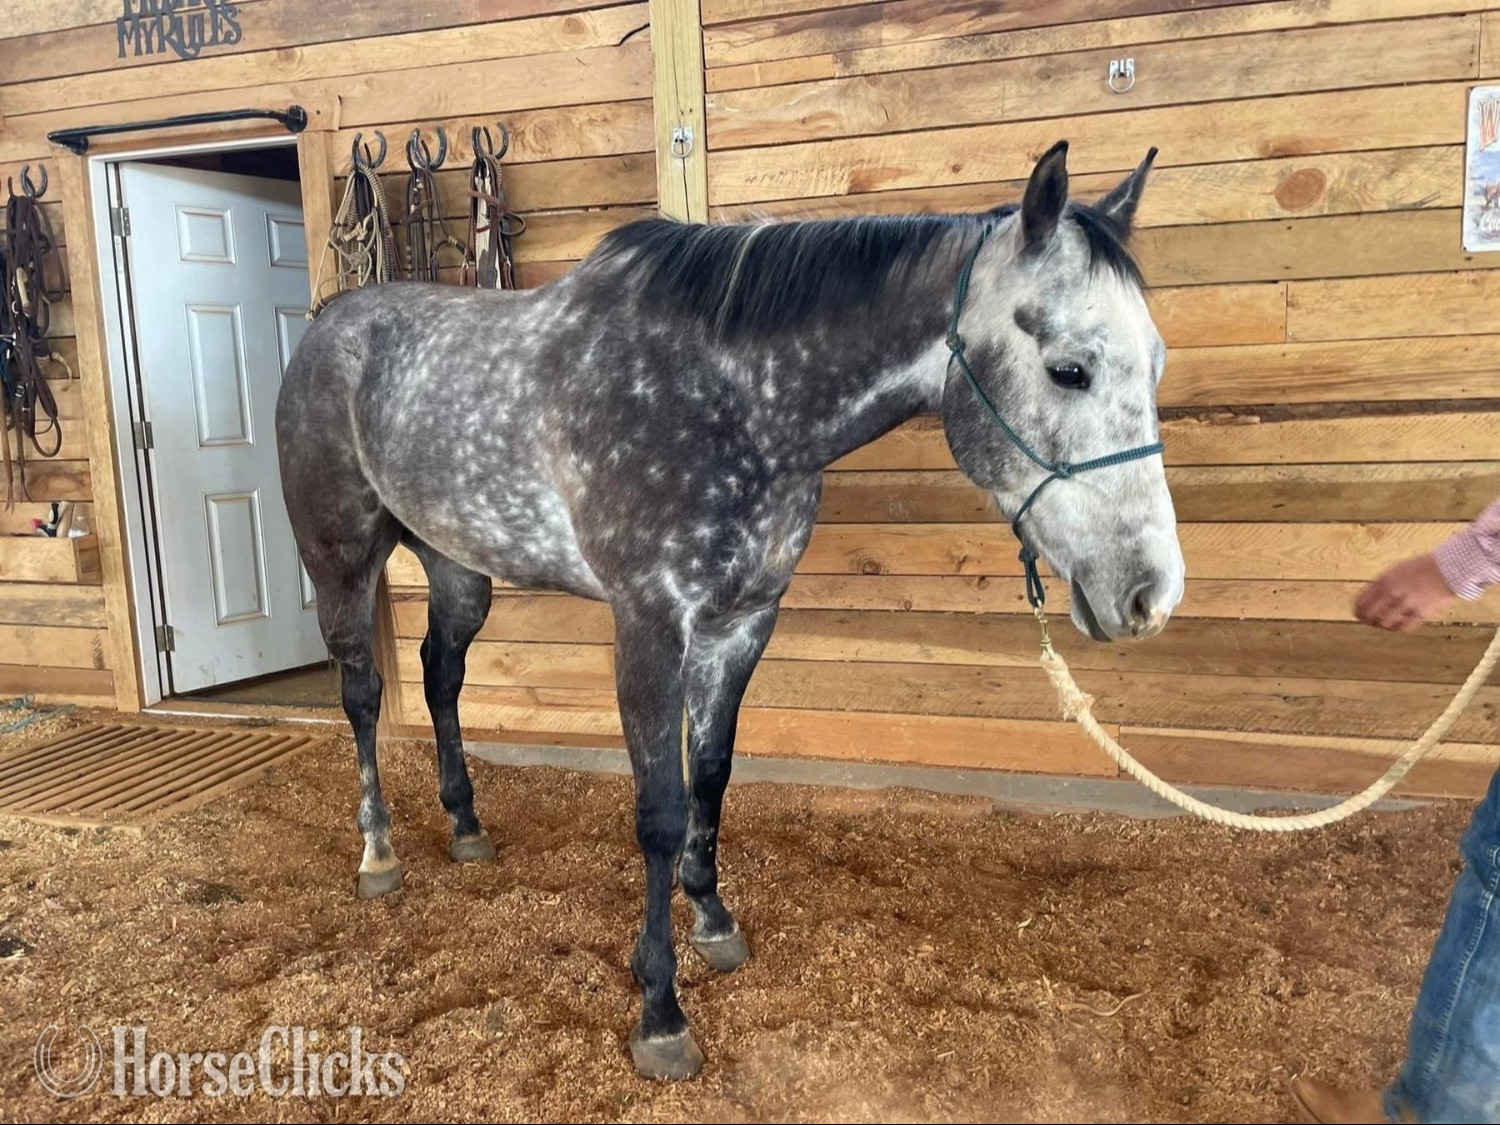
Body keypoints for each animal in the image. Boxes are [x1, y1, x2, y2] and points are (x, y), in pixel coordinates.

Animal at [275, 140, 1185, 1080]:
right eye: (1069, 369)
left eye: (1155, 363)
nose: (1150, 594)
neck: (731, 403)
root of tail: (330, 323)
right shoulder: (649, 626)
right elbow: (660, 811)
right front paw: (660, 1012)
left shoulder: (743, 623)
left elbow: (711, 774)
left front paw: (713, 923)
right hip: (341, 560)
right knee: (363, 695)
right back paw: (379, 852)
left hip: (459, 566)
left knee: (441, 677)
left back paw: (464, 825)